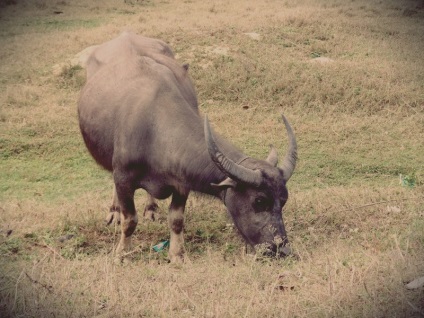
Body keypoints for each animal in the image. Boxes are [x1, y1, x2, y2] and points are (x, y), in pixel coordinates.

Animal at [78, 31, 296, 262]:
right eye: (259, 201)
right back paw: (115, 210)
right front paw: (122, 253)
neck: (154, 128)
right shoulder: (123, 178)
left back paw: (151, 208)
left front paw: (177, 254)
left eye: (283, 200)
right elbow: (130, 220)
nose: (281, 249)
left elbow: (176, 219)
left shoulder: (181, 182)